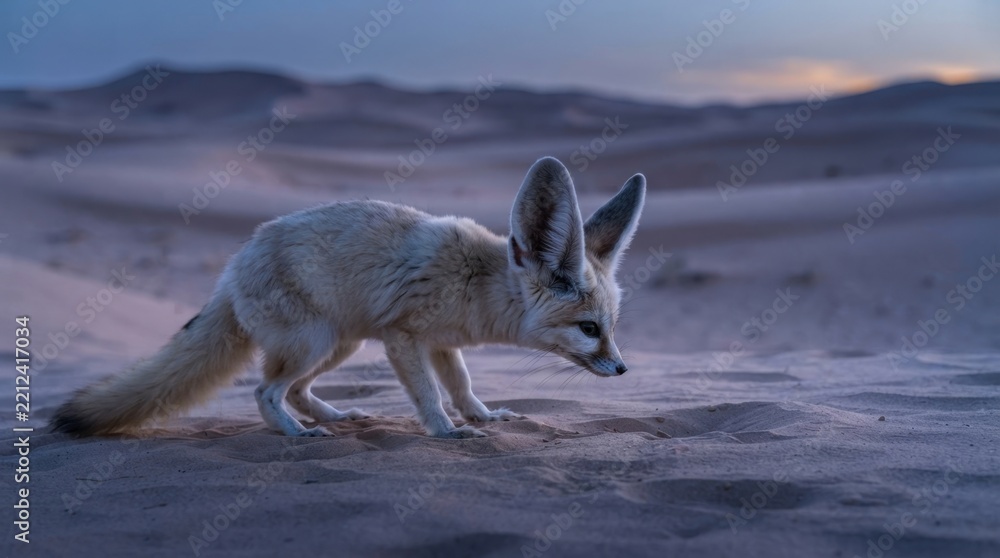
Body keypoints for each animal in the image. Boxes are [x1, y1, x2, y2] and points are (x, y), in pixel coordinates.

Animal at [52, 157, 646, 439]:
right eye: (590, 329)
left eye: (612, 327)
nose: (622, 369)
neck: (478, 281)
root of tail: (231, 270)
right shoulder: (404, 337)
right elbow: (429, 395)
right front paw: (445, 432)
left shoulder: (441, 343)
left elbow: (462, 385)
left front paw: (481, 417)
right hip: (317, 342)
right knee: (265, 392)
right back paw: (297, 436)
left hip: (341, 346)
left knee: (292, 391)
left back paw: (334, 417)